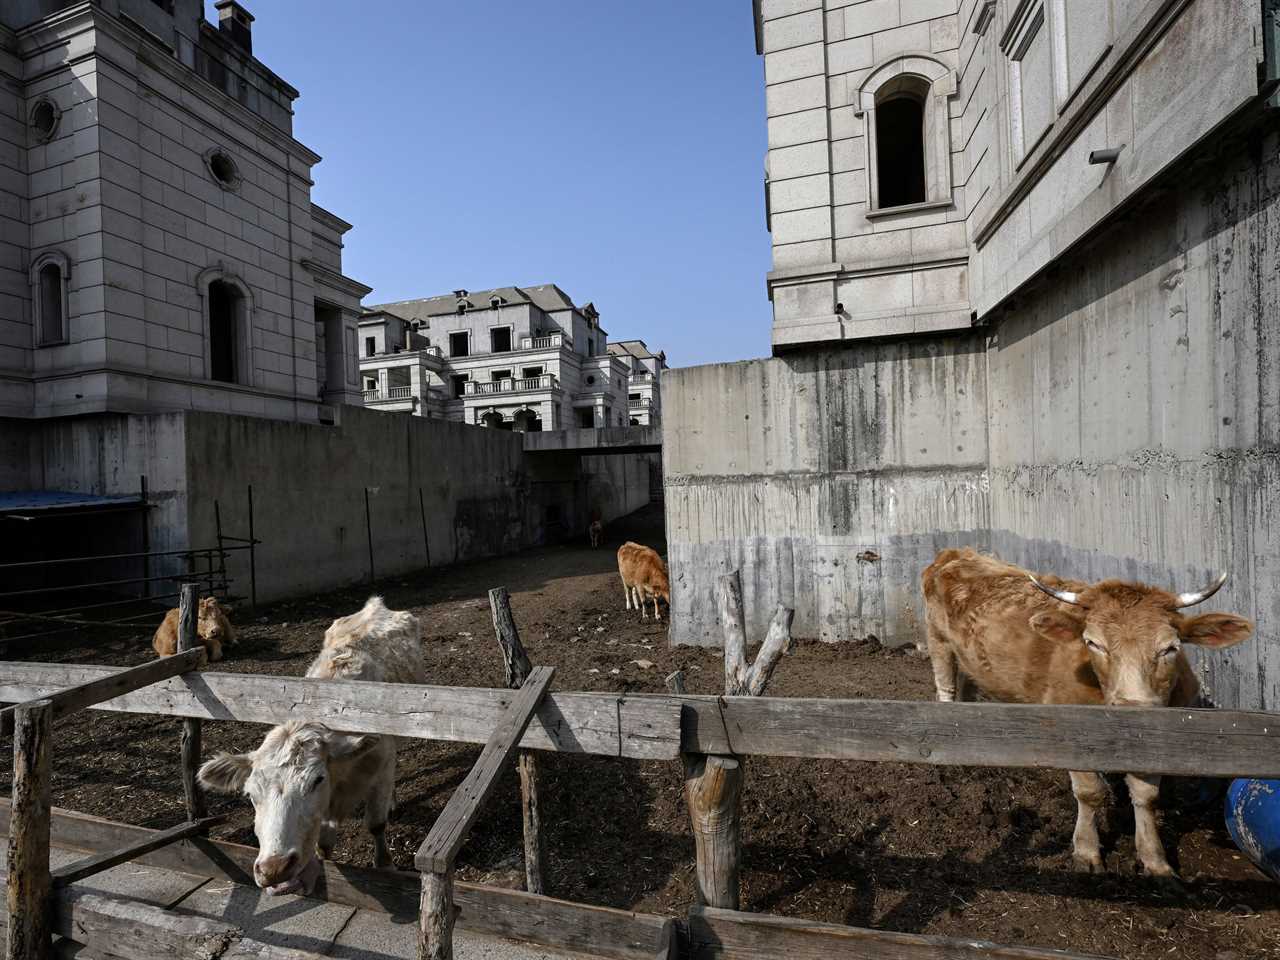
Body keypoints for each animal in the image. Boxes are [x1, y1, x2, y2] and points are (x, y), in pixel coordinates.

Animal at [195, 599, 424, 901]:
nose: (274, 868)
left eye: (317, 780)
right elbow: (324, 844)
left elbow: (376, 824)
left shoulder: (382, 768)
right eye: (250, 794)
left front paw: (385, 866)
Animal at [926, 547, 1254, 885]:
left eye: (1170, 648)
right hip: (938, 642)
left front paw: (1155, 861)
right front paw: (1086, 852)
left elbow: (1147, 795)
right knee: (946, 690)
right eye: (1093, 643)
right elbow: (1090, 792)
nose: (1132, 709)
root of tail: (957, 553)